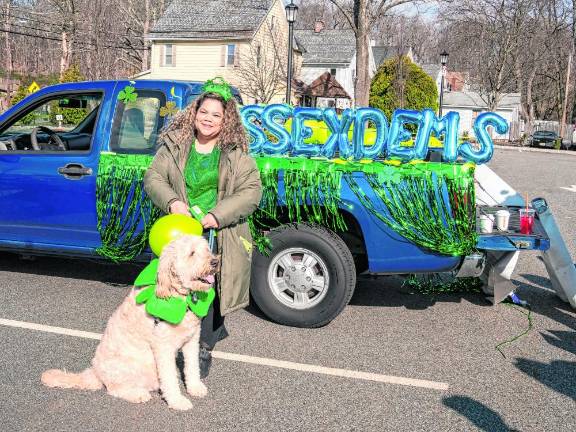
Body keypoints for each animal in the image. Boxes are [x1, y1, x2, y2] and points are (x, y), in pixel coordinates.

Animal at [41, 235, 218, 410]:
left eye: (207, 249)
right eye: (192, 253)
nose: (215, 261)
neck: (180, 297)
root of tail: (95, 372)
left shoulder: (192, 340)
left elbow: (192, 367)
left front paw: (195, 388)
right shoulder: (163, 347)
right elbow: (169, 378)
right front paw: (177, 401)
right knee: (114, 389)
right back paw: (137, 394)